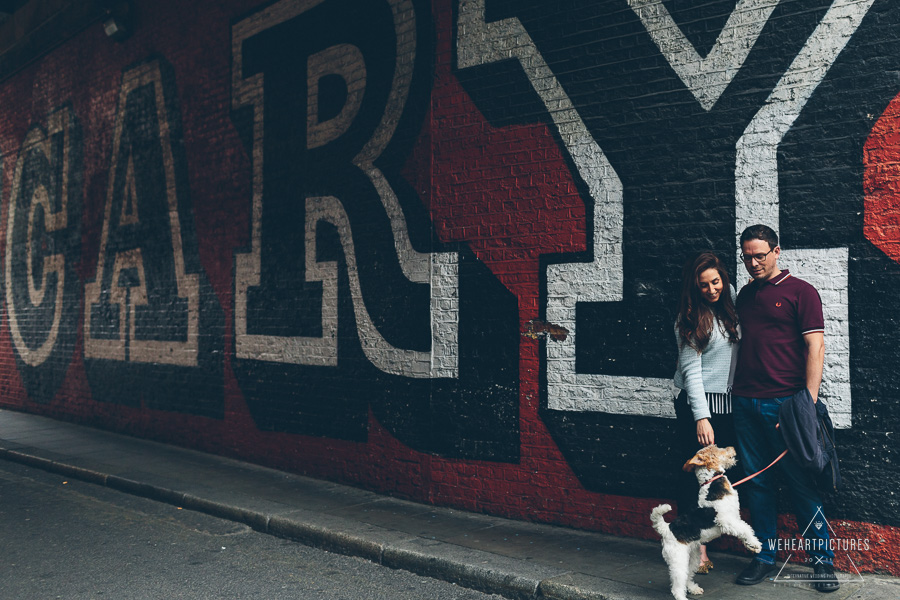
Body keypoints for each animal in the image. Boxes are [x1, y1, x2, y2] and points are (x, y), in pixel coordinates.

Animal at [652, 446, 764, 600]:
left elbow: (743, 530)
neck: (711, 481)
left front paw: (751, 546)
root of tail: (667, 528)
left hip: (692, 557)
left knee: (688, 577)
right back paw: (682, 596)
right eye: (717, 448)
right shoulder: (726, 520)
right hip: (678, 560)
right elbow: (745, 529)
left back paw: (694, 589)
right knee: (677, 585)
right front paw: (755, 544)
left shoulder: (734, 518)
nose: (732, 448)